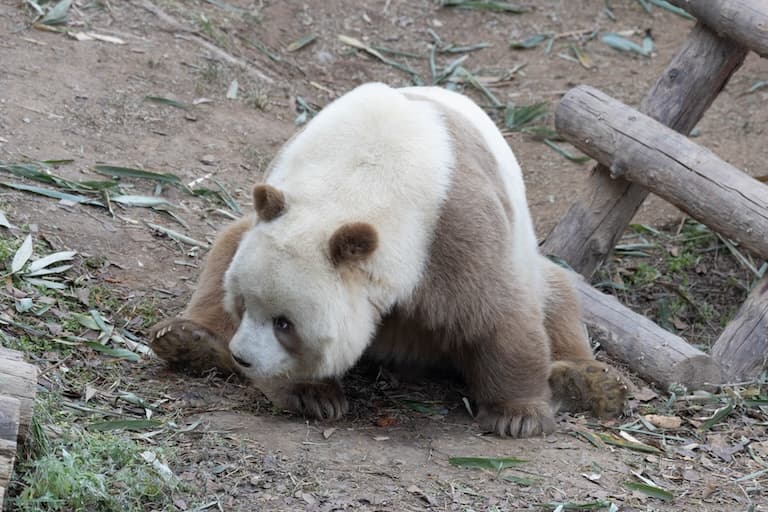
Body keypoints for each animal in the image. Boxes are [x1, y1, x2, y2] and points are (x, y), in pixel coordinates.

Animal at [150, 83, 627, 438]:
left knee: (557, 296)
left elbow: (497, 313)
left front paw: (518, 415)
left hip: (527, 256)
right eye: (244, 305)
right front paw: (313, 394)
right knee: (224, 246)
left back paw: (591, 382)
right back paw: (189, 341)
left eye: (285, 324)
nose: (246, 358)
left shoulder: (450, 226)